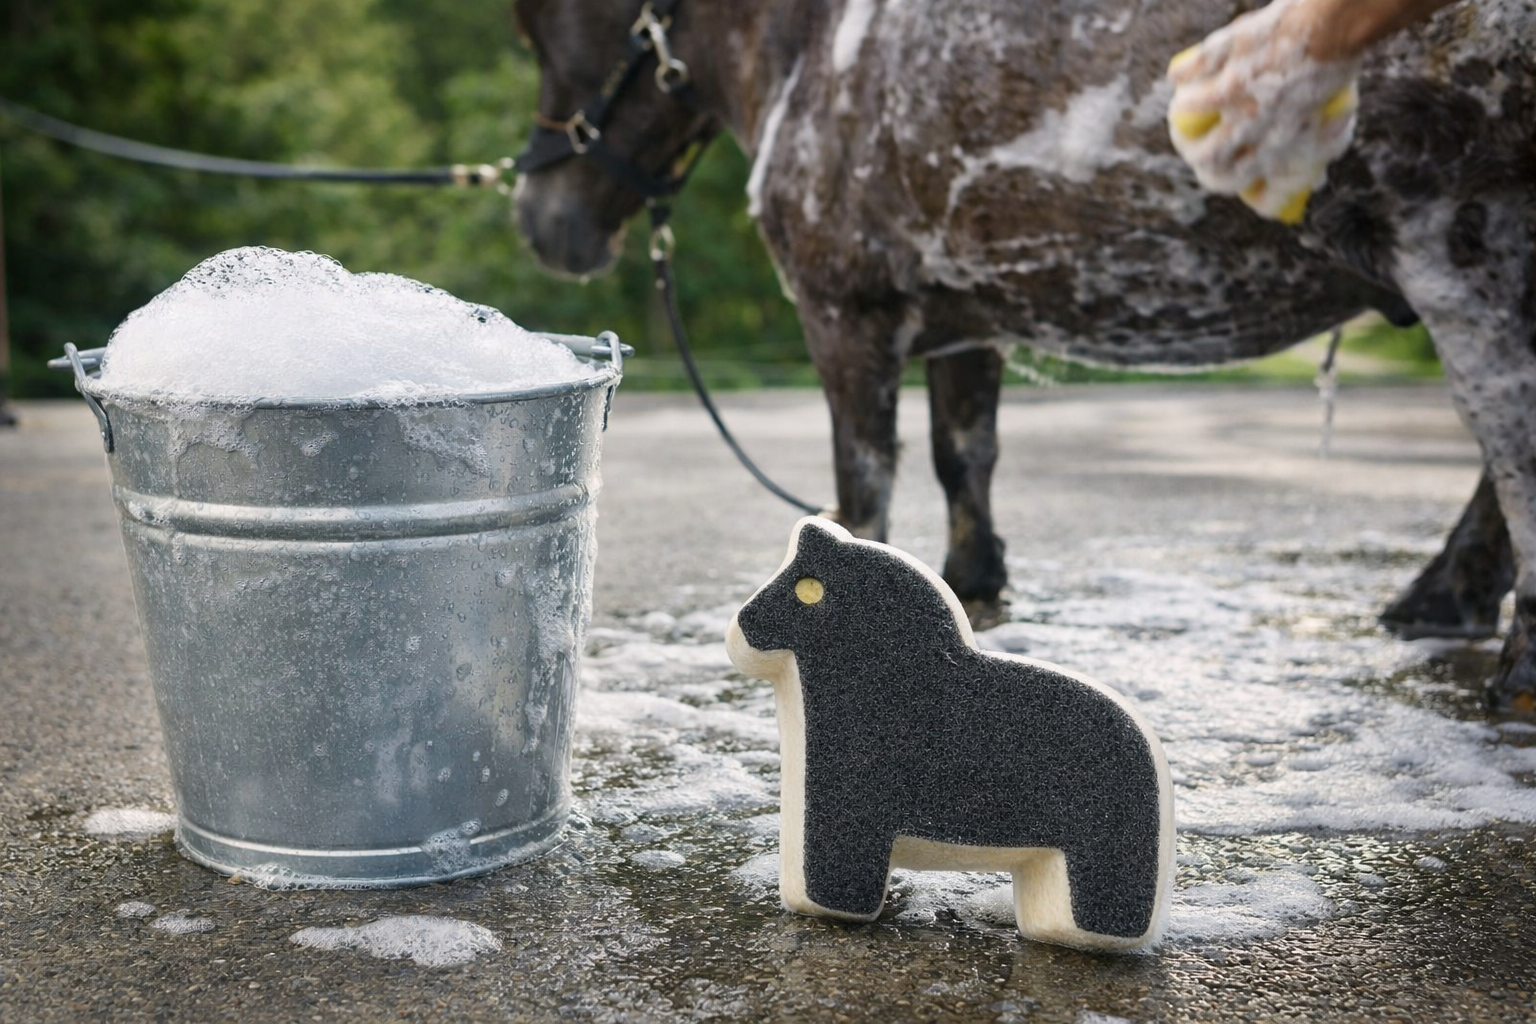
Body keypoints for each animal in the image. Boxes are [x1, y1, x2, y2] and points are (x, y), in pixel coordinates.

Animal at [509, 0, 1536, 712]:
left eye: (532, 30)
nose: (541, 221)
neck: (812, 41)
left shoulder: (850, 319)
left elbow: (864, 483)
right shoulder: (966, 324)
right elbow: (964, 458)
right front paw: (974, 586)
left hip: (1467, 259)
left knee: (1511, 449)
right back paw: (1444, 597)